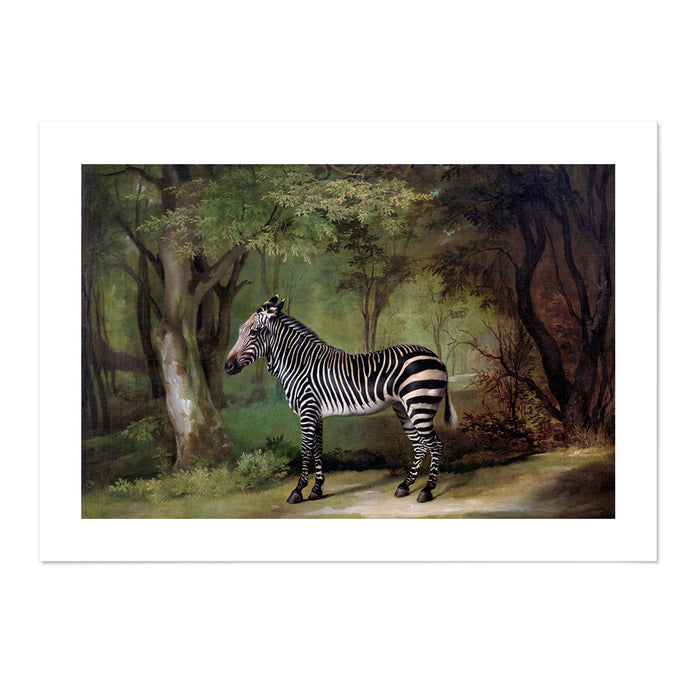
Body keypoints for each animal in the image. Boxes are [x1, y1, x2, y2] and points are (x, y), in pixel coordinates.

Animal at [224, 295, 457, 504]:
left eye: (254, 332)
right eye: (240, 330)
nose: (227, 366)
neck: (299, 365)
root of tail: (437, 358)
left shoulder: (307, 411)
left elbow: (305, 450)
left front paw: (298, 491)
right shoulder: (316, 414)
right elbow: (317, 449)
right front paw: (316, 489)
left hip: (419, 405)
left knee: (435, 445)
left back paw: (426, 490)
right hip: (403, 408)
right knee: (420, 446)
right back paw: (405, 486)